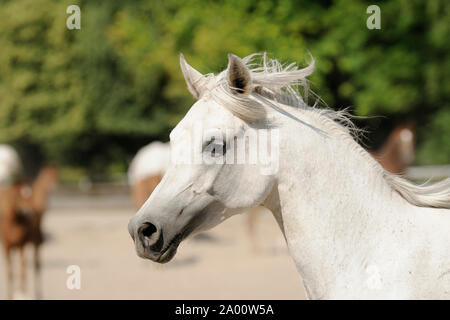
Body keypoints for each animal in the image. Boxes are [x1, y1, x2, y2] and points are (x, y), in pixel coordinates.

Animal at [0, 166, 58, 298]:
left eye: (56, 175)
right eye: (17, 195)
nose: (30, 212)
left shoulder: (23, 244)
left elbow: (23, 270)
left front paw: (22, 293)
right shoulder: (6, 246)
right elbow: (11, 272)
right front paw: (11, 295)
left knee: (34, 265)